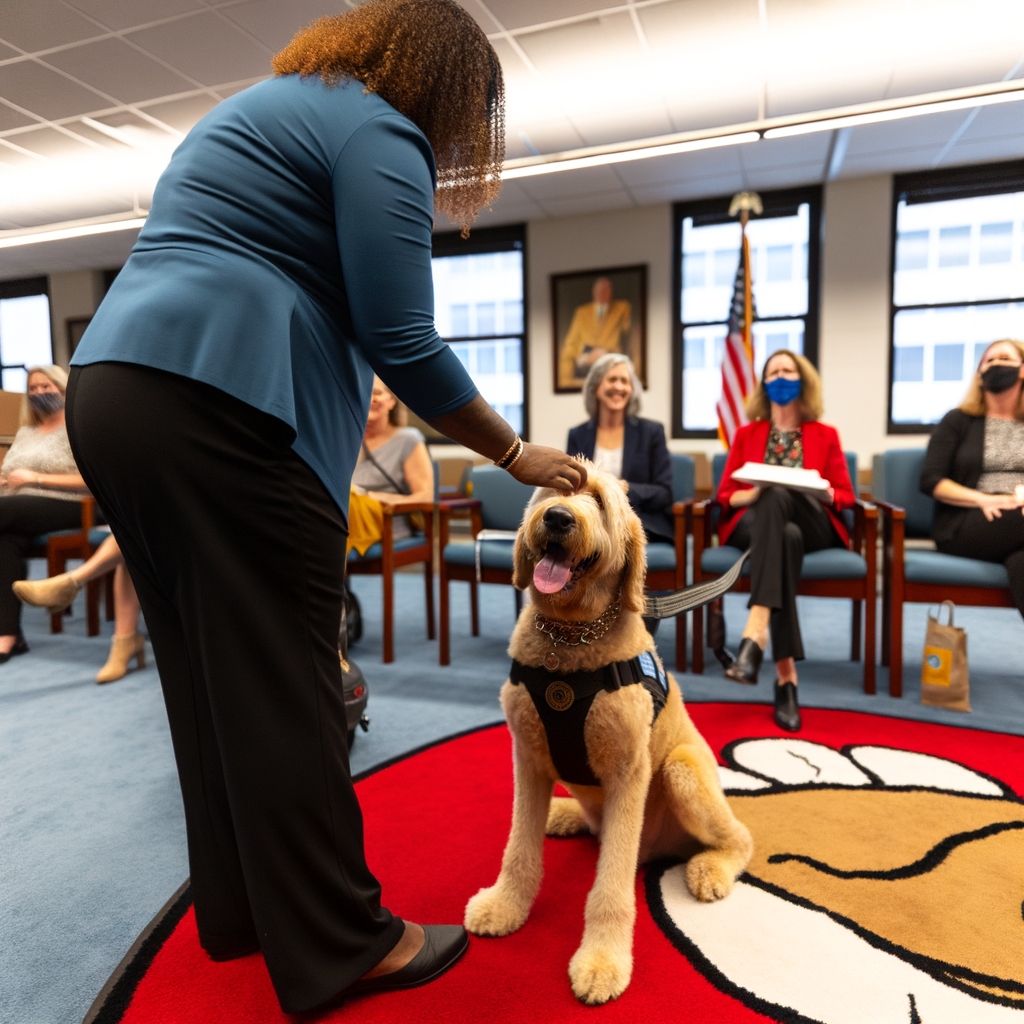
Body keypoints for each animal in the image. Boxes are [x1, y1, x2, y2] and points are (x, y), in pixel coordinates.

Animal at [466, 464, 753, 1007]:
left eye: (598, 500)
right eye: (553, 491)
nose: (557, 518)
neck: (567, 640)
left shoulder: (628, 774)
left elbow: (611, 886)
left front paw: (602, 961)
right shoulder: (527, 757)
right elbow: (518, 850)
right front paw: (505, 905)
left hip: (682, 769)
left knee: (741, 837)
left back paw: (710, 869)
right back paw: (564, 814)